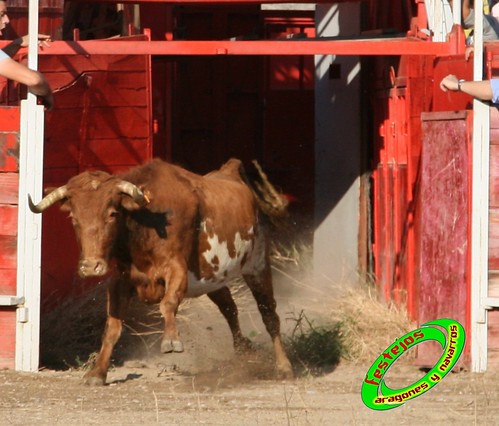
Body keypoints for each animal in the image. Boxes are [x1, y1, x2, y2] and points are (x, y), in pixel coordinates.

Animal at [29, 158, 294, 384]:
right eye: (74, 217)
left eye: (112, 213)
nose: (91, 266)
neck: (146, 222)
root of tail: (231, 171)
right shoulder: (122, 281)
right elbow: (112, 327)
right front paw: (97, 373)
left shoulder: (176, 269)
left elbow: (168, 303)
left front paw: (171, 340)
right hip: (211, 278)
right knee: (229, 308)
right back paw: (243, 349)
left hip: (257, 265)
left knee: (269, 314)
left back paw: (283, 366)